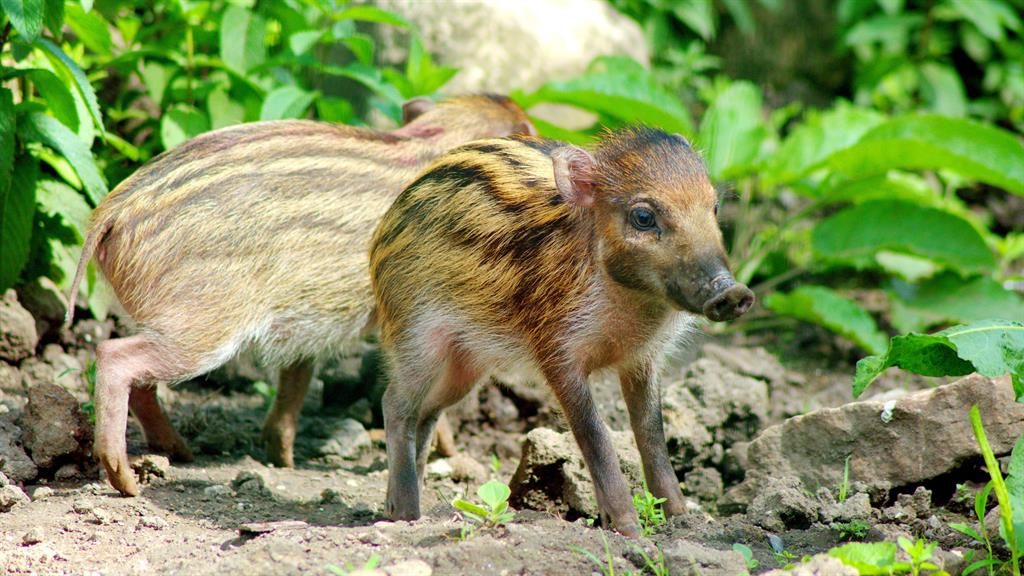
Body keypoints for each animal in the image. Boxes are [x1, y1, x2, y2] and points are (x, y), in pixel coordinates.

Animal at [66, 95, 536, 497]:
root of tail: (111, 212)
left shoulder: (304, 321)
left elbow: (295, 382)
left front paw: (283, 459)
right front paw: (462, 460)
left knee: (143, 382)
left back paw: (179, 453)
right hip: (201, 325)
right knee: (115, 356)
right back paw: (127, 481)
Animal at [369, 128, 754, 536]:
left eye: (714, 208)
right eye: (643, 216)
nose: (734, 292)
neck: (633, 308)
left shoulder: (643, 359)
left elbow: (652, 431)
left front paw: (683, 519)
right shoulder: (556, 351)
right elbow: (594, 433)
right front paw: (629, 531)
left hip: (466, 363)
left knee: (427, 412)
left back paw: (404, 507)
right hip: (415, 336)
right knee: (396, 404)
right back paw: (407, 515)